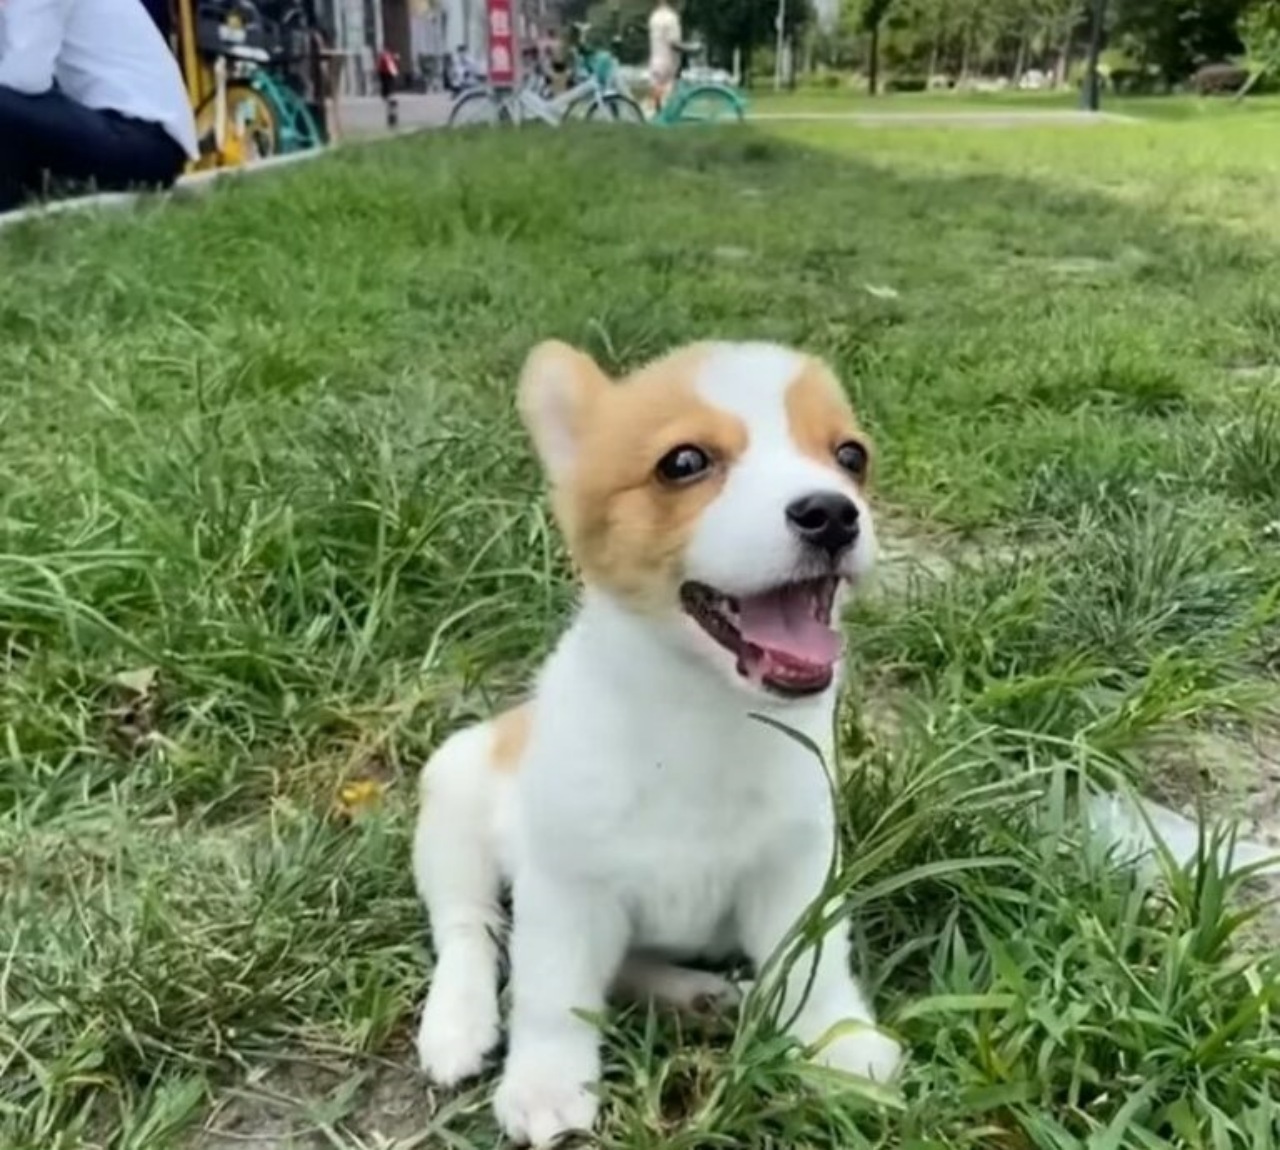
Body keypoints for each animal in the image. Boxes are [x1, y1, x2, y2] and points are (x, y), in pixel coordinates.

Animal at [409, 338, 901, 1137]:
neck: (701, 715)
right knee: (471, 930)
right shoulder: (566, 888)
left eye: (850, 456)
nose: (833, 513)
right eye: (685, 462)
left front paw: (837, 1043)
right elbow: (551, 993)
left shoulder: (798, 867)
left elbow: (814, 962)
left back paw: (694, 994)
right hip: (455, 799)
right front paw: (545, 1081)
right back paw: (457, 1023)